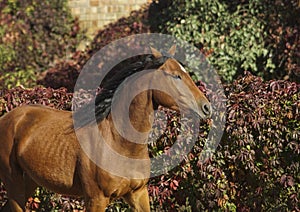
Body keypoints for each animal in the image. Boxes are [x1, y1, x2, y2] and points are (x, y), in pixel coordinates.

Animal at [0, 45, 212, 211]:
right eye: (176, 76)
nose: (206, 107)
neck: (120, 143)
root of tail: (8, 118)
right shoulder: (96, 199)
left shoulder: (138, 194)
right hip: (14, 182)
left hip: (29, 182)